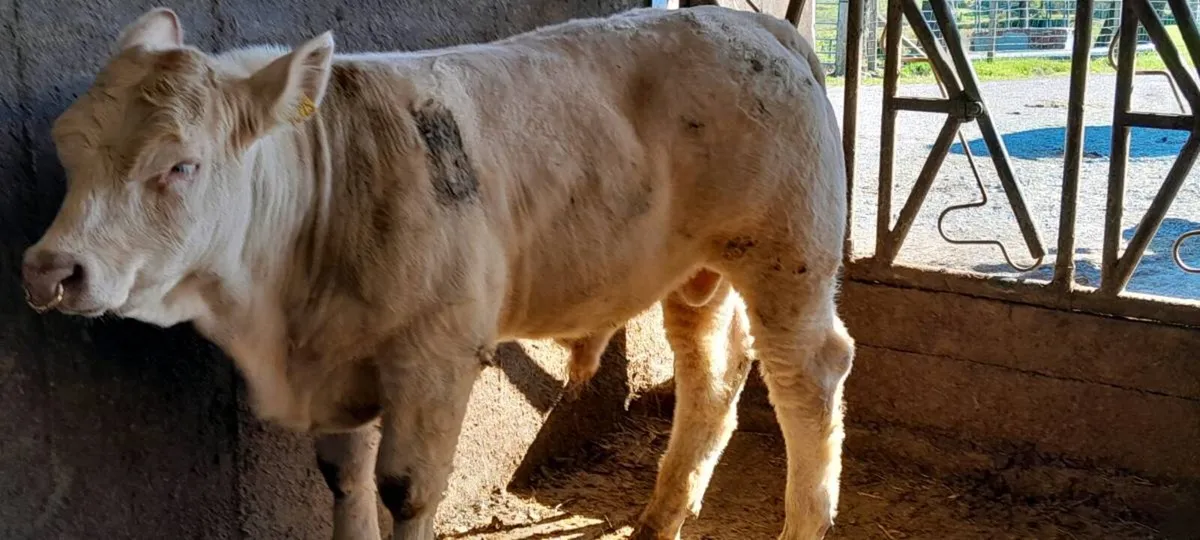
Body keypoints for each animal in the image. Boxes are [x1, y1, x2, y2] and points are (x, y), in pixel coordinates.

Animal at [20, 4, 854, 540]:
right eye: (67, 145)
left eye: (179, 165)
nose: (49, 269)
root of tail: (762, 23)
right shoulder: (337, 362)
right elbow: (346, 481)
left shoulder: (436, 355)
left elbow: (406, 491)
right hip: (695, 275)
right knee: (710, 379)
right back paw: (658, 519)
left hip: (787, 253)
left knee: (807, 376)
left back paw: (803, 520)